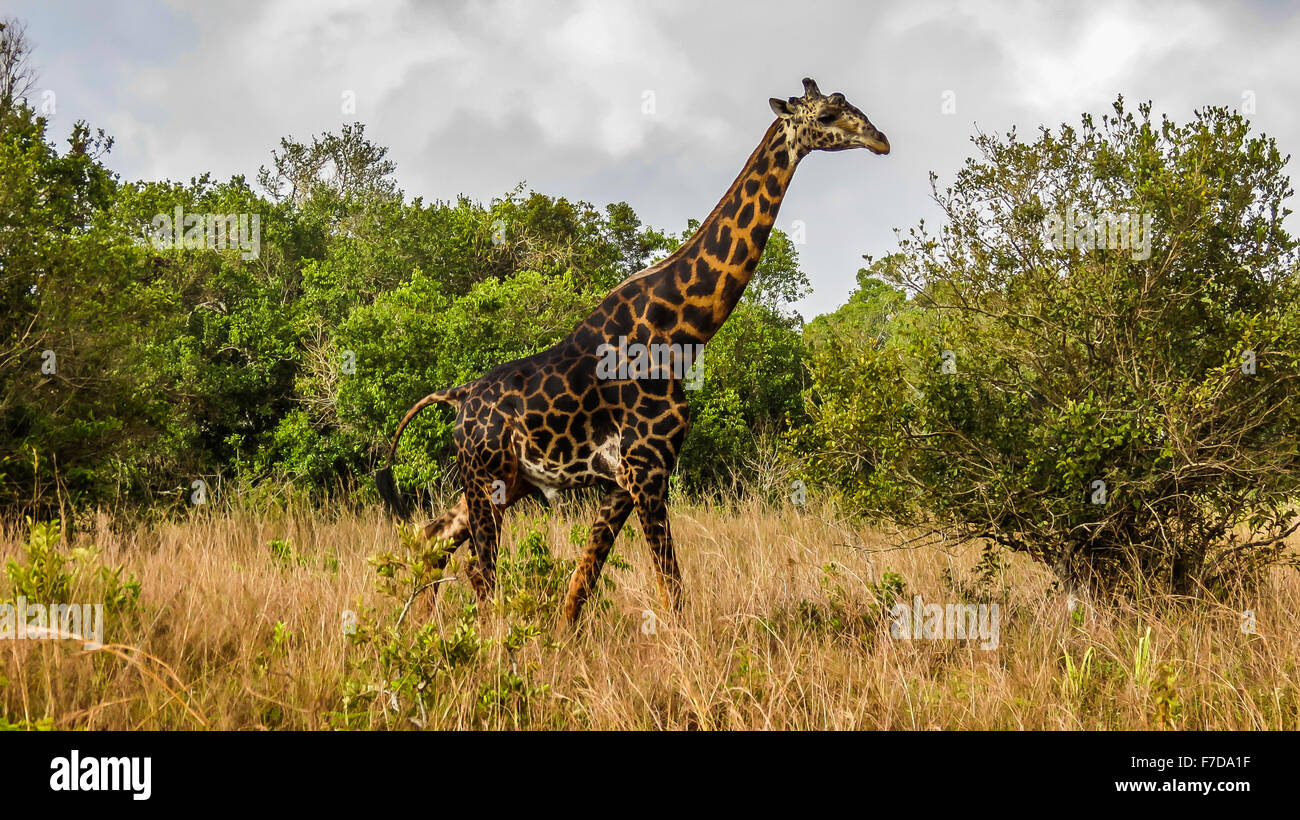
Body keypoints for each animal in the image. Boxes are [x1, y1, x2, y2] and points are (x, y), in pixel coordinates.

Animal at [371, 78, 889, 628]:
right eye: (828, 113)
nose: (880, 140)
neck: (682, 329)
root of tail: (459, 395)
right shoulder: (646, 467)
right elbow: (670, 587)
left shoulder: (626, 477)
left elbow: (582, 581)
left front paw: (563, 643)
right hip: (486, 477)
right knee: (478, 567)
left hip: (509, 481)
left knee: (434, 538)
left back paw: (419, 626)